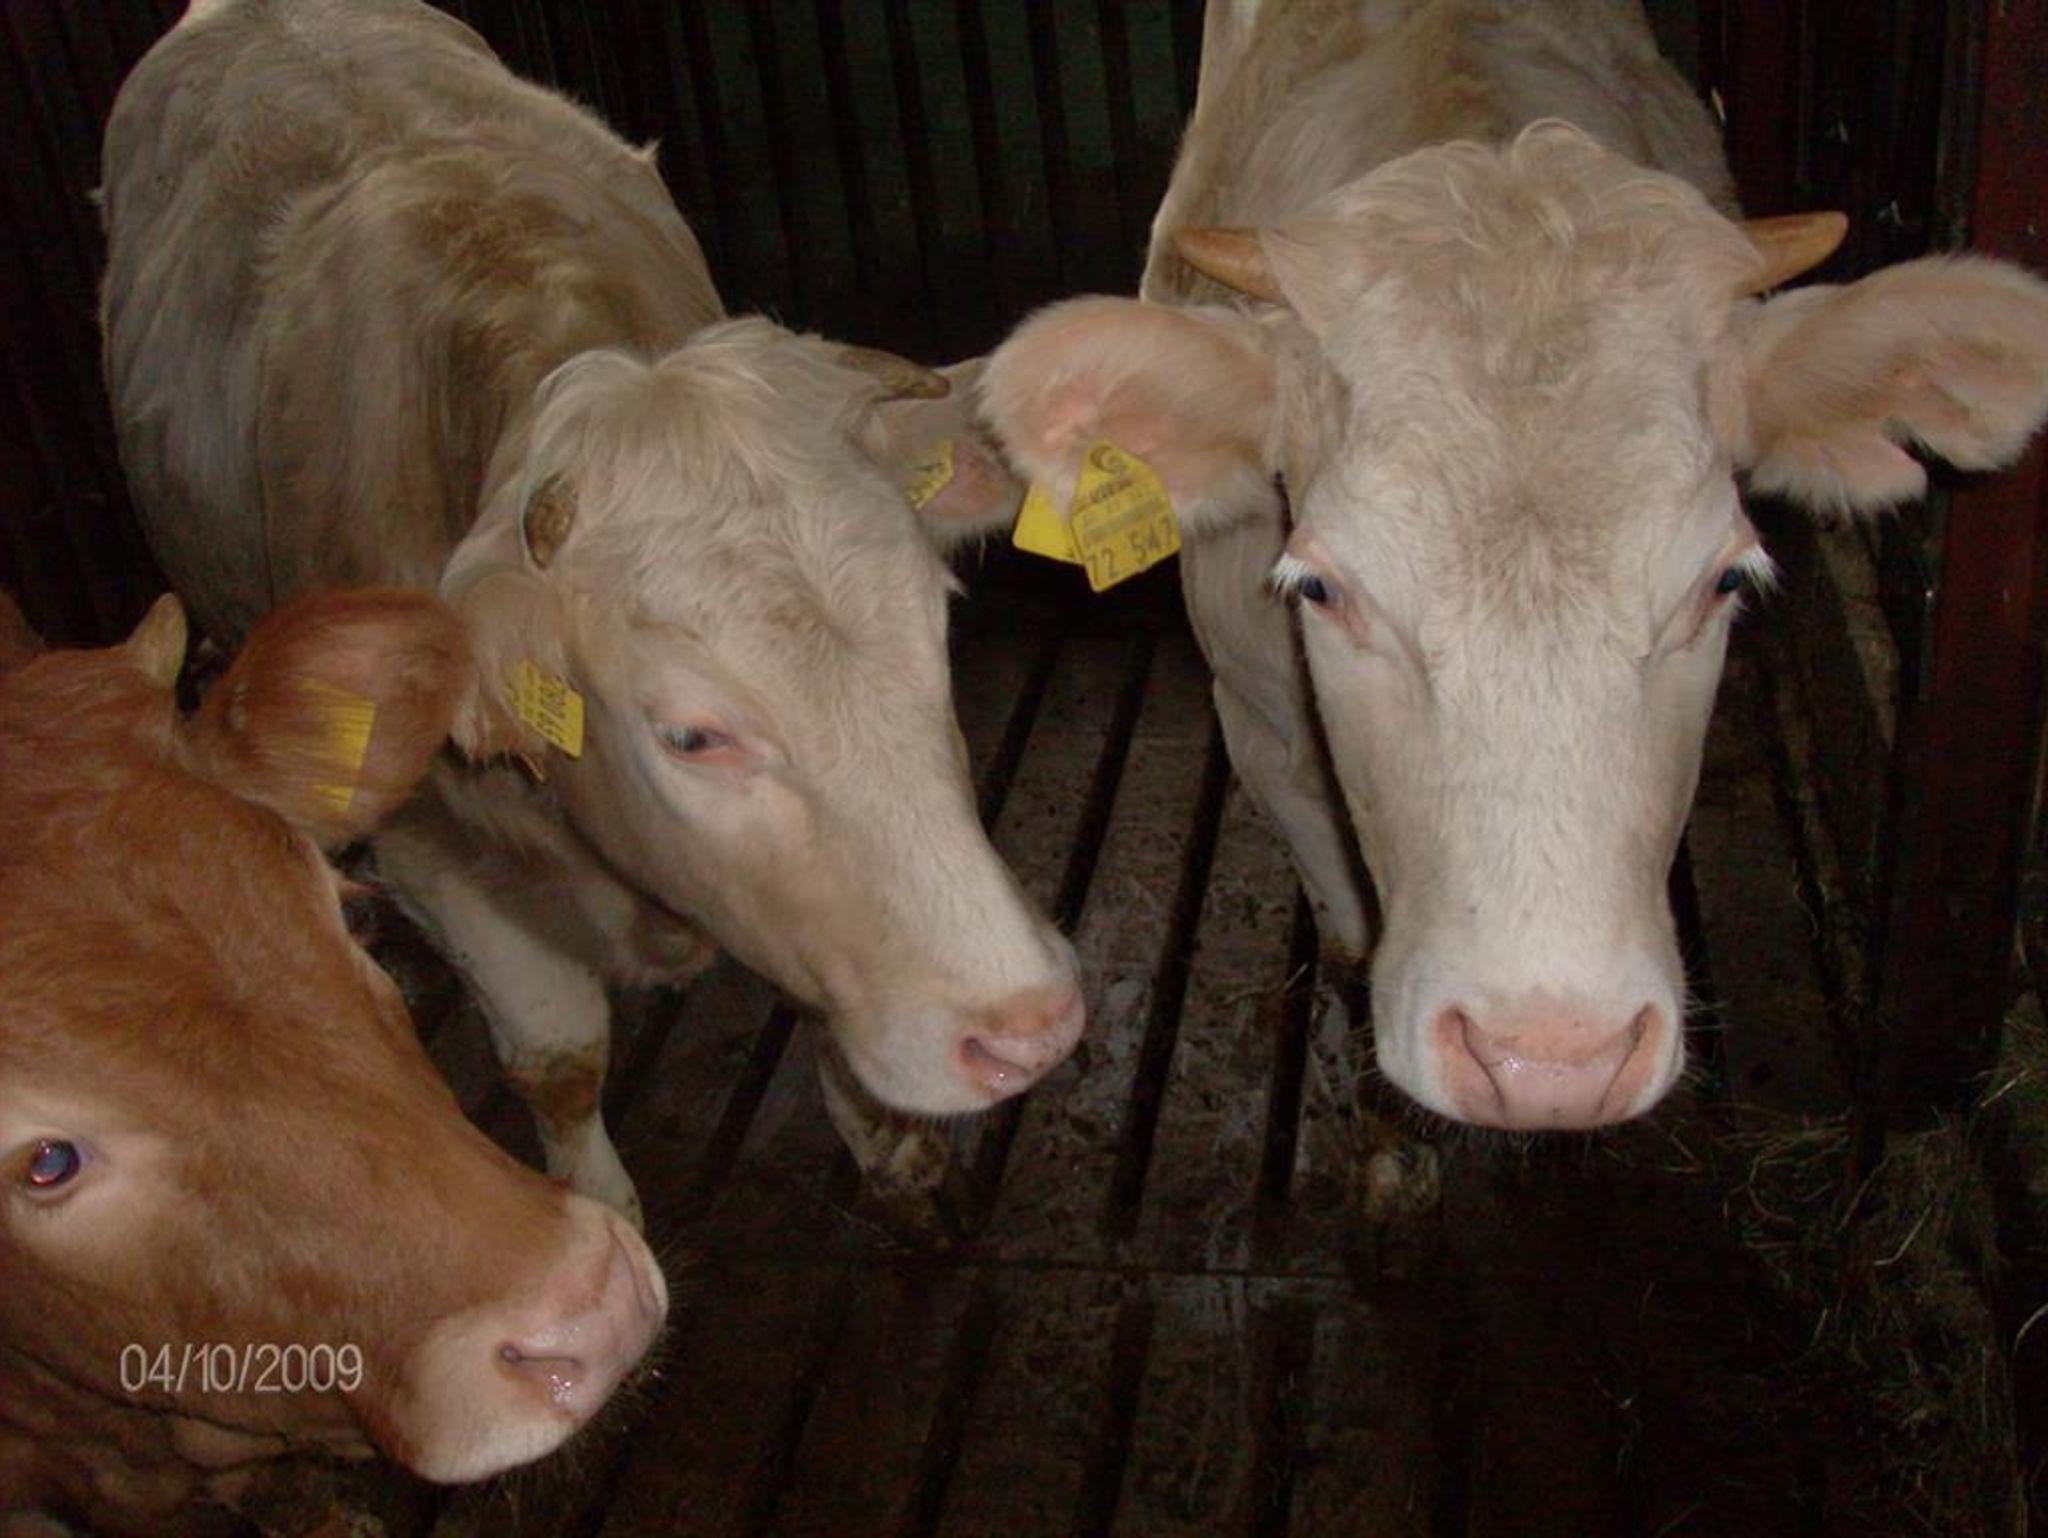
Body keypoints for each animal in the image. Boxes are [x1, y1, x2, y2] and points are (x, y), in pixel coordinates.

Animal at [100, 0, 1081, 1227]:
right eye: (690, 734)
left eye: (936, 634)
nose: (1028, 1029)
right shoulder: (434, 846)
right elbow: (557, 1063)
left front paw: (890, 1147)